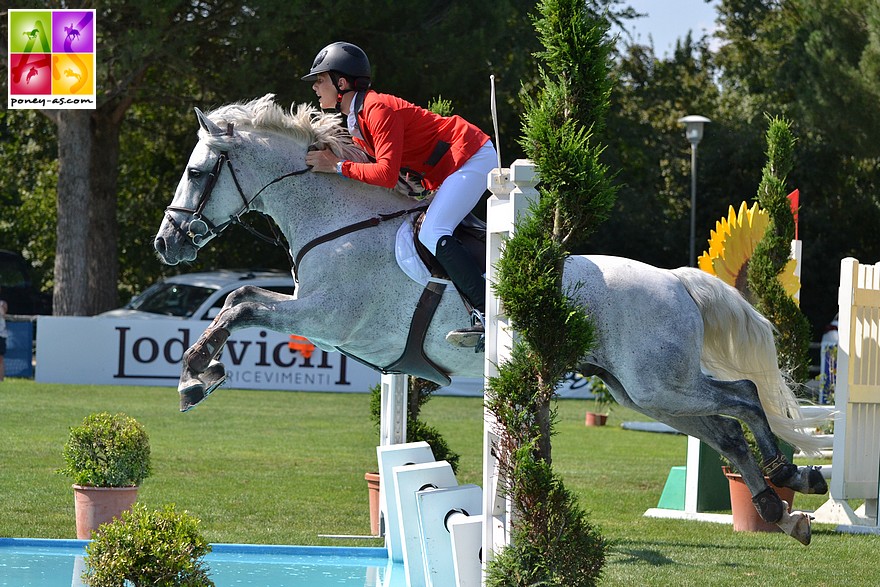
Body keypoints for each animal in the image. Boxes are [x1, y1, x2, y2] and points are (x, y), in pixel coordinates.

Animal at [156, 93, 824, 548]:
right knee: (726, 430)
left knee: (743, 397)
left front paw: (195, 376)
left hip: (661, 382)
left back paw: (792, 474)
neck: (338, 218)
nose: (167, 245)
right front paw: (198, 372)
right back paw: (779, 508)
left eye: (195, 173)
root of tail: (677, 280)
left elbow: (243, 302)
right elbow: (240, 298)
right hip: (645, 391)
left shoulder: (328, 317)